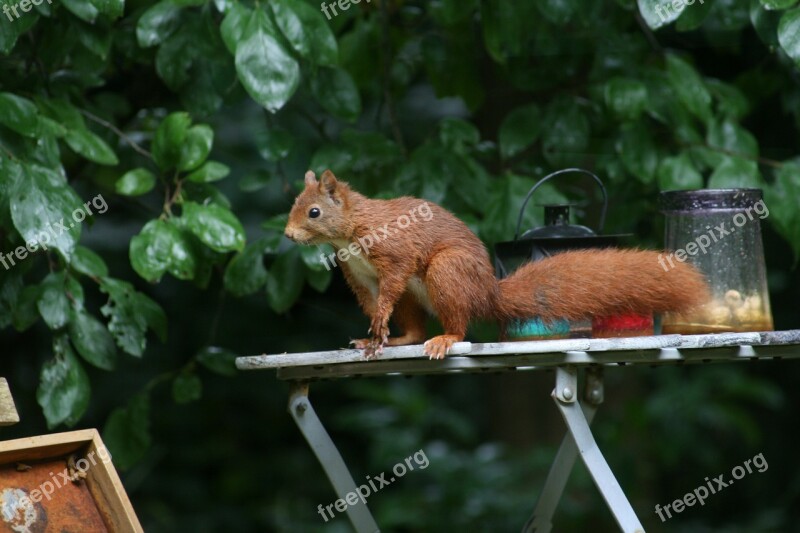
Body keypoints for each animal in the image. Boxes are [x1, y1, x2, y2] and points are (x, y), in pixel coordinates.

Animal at [284, 170, 708, 358]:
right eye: (293, 205)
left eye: (314, 212)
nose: (287, 235)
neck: (352, 230)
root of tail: (487, 293)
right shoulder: (359, 275)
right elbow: (373, 300)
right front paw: (374, 336)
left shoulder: (395, 253)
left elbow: (389, 287)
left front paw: (379, 326)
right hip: (417, 294)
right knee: (416, 328)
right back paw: (403, 338)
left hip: (447, 271)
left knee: (458, 326)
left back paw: (446, 338)